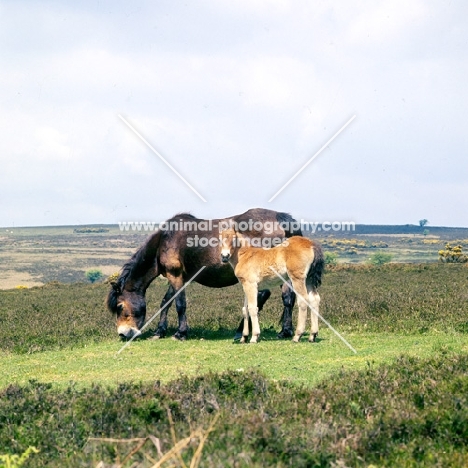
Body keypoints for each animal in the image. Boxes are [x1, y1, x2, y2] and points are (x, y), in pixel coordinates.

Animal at [107, 208, 304, 340]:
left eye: (120, 306)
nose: (123, 334)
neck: (165, 240)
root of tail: (280, 218)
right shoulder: (178, 277)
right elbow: (166, 301)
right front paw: (159, 331)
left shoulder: (175, 275)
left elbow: (180, 304)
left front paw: (181, 333)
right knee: (287, 297)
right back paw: (284, 331)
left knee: (262, 296)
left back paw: (241, 331)